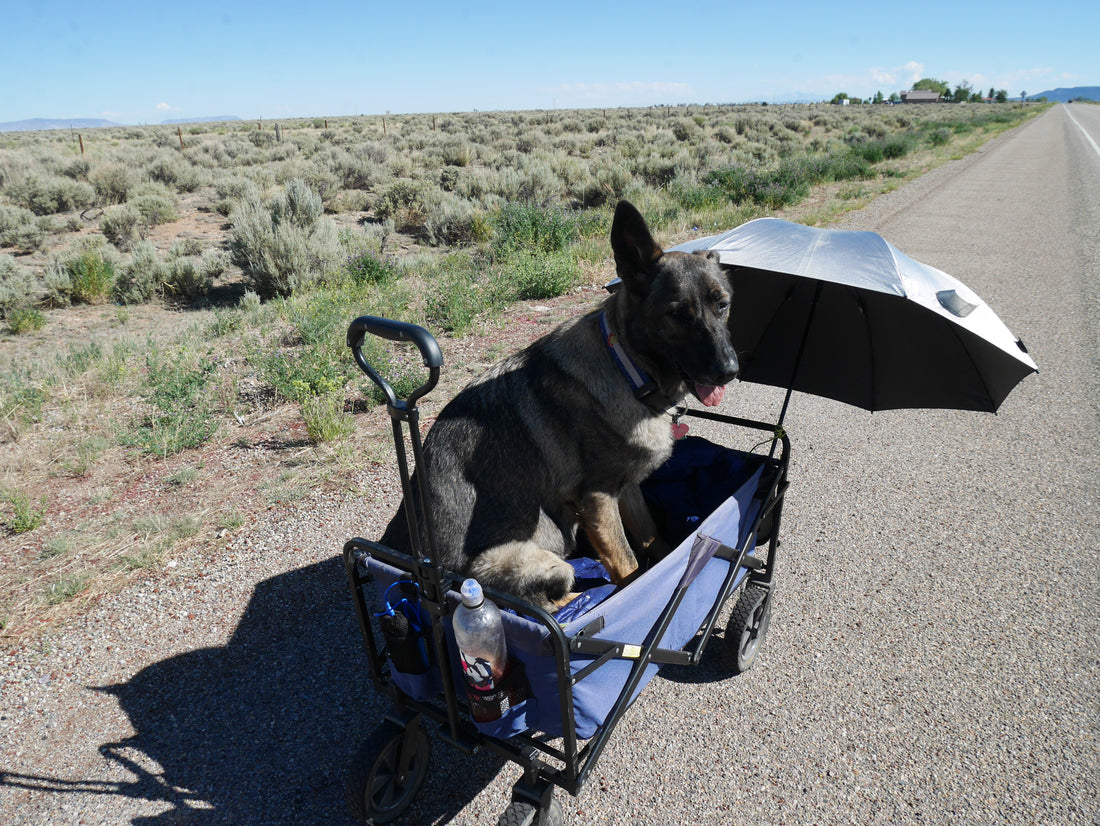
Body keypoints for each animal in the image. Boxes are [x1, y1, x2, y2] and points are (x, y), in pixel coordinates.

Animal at [380, 201, 739, 615]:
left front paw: (665, 564)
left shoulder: (626, 489)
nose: (730, 371)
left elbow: (651, 538)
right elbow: (628, 566)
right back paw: (582, 602)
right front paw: (632, 595)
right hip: (537, 563)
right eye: (677, 314)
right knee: (544, 606)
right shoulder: (598, 500)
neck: (627, 368)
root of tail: (420, 575)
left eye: (722, 305)